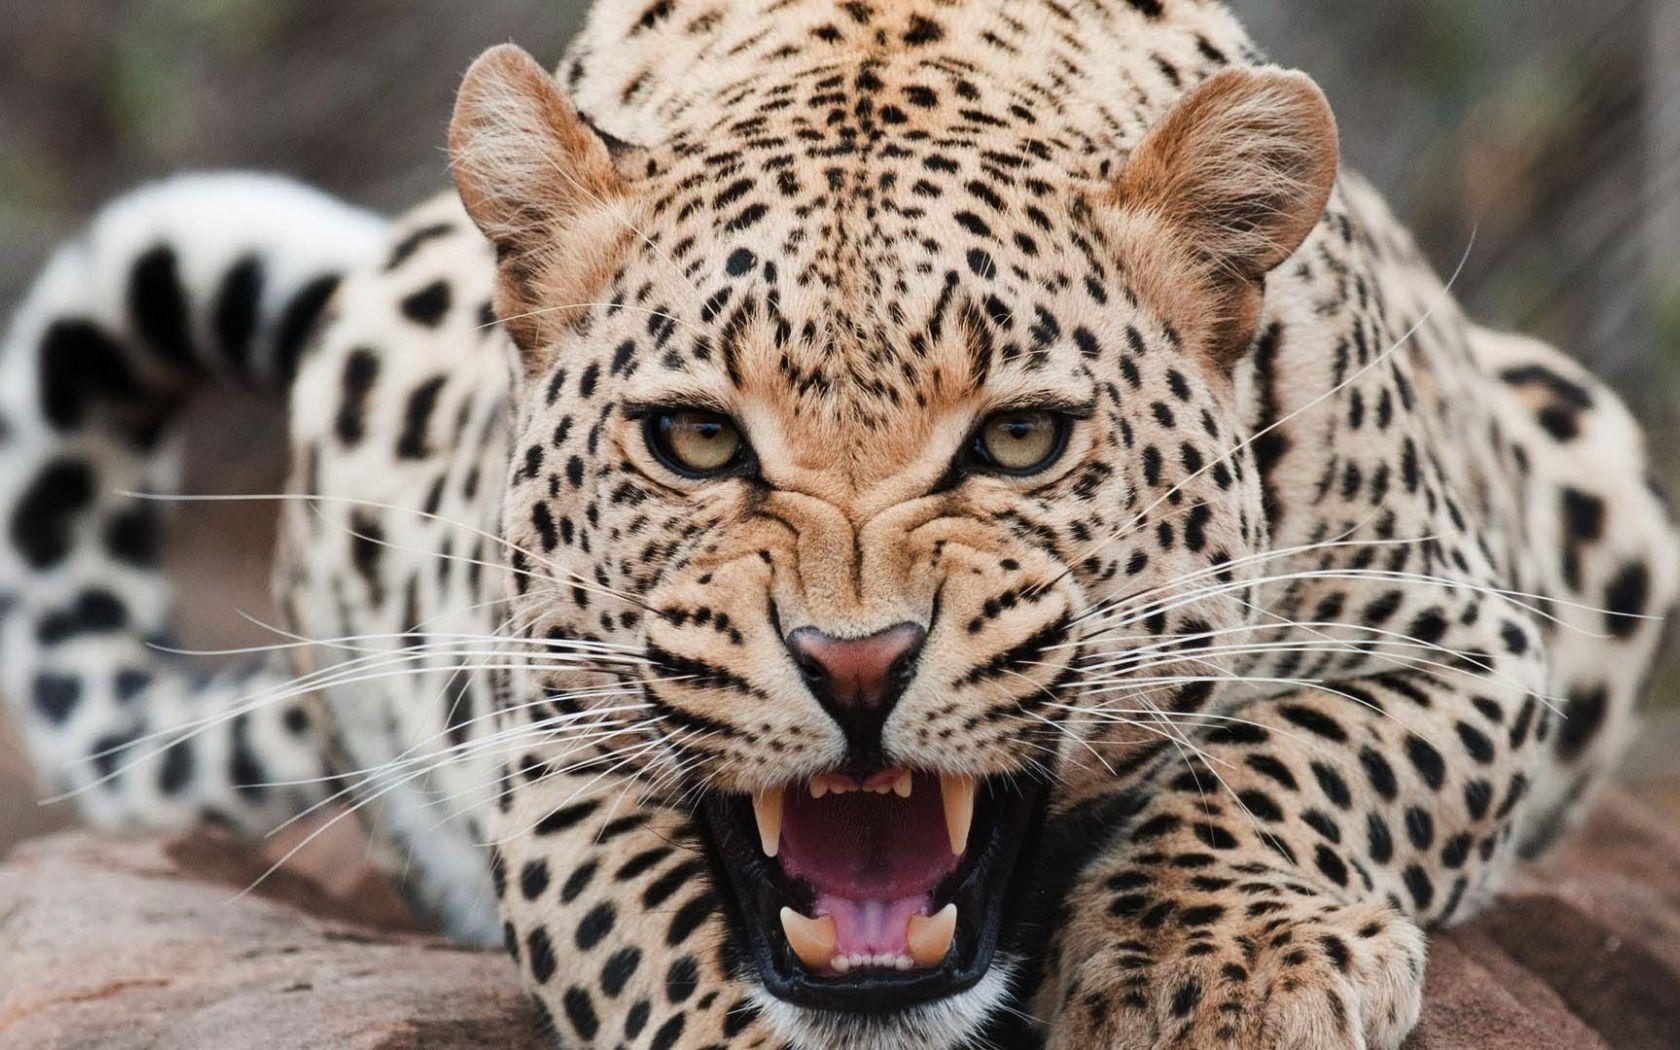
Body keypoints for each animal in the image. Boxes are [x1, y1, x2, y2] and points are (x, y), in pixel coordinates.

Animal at [3, 1, 1676, 1048]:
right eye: (692, 439)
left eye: (1019, 439)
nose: (856, 664)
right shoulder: (548, 744)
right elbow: (653, 941)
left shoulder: (1467, 638)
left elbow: (1298, 755)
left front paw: (1215, 976)